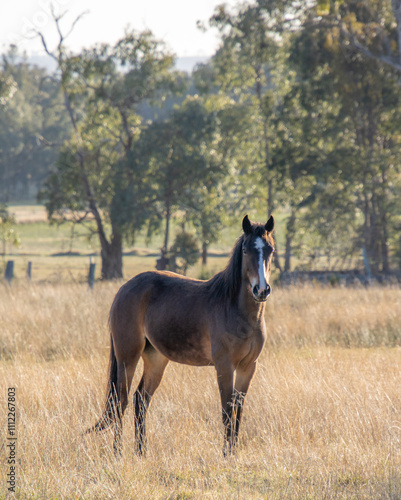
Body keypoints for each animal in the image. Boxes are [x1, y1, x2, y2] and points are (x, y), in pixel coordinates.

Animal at [86, 213, 276, 456]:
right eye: (245, 249)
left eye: (270, 249)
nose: (261, 290)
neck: (235, 310)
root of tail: (124, 288)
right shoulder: (225, 366)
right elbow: (226, 410)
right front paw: (226, 455)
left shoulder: (248, 367)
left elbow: (238, 411)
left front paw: (233, 453)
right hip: (127, 356)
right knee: (121, 401)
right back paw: (118, 452)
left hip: (156, 359)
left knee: (140, 400)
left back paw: (141, 452)